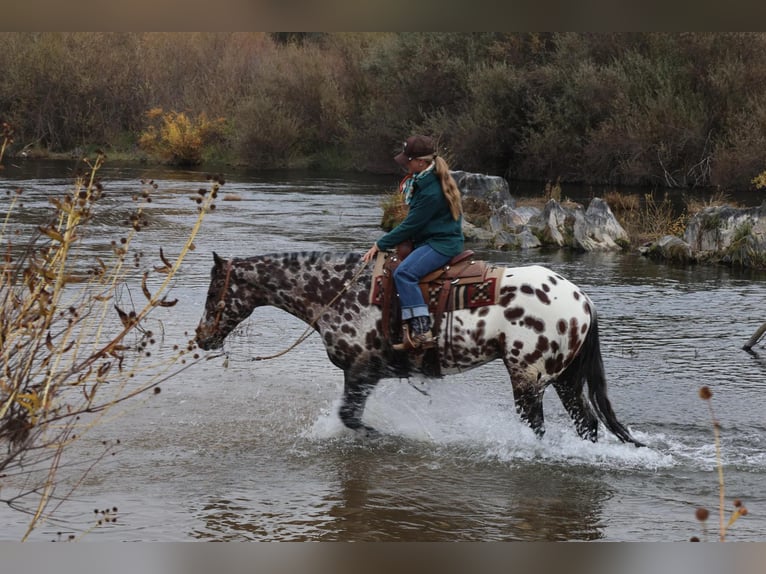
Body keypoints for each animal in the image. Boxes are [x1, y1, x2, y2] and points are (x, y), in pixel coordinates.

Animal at [195, 250, 644, 448]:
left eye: (214, 291)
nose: (202, 337)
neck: (337, 290)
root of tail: (581, 298)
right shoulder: (363, 375)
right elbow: (349, 415)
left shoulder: (362, 370)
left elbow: (350, 417)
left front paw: (386, 436)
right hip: (563, 377)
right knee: (586, 423)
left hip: (528, 379)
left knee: (537, 426)